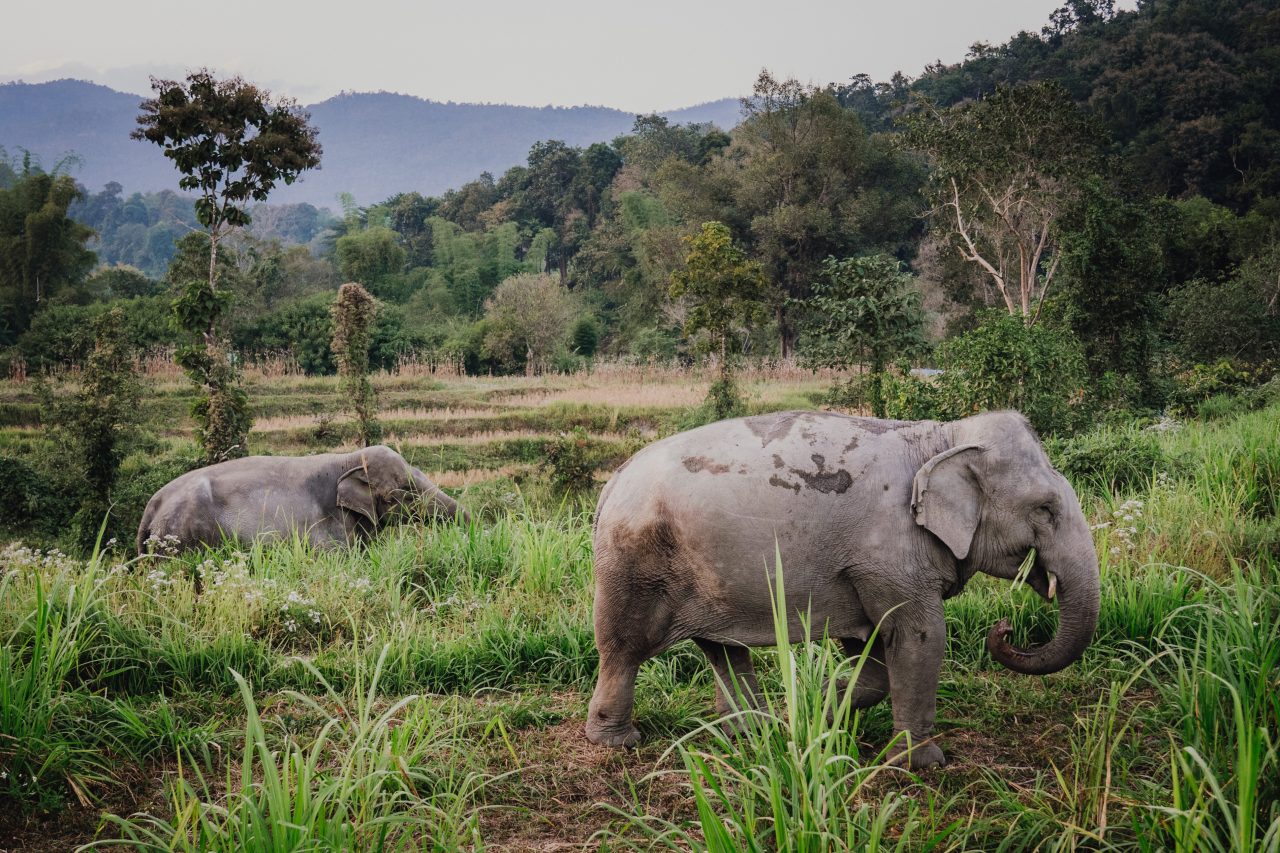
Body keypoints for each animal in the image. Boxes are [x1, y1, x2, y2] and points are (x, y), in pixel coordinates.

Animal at [586, 409, 1100, 768]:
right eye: (1045, 509)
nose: (1005, 628)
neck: (944, 438)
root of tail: (611, 482)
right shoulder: (888, 556)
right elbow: (921, 637)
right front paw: (920, 764)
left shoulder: (863, 568)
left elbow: (871, 650)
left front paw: (817, 713)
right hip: (633, 562)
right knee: (623, 647)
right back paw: (617, 741)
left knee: (722, 649)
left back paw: (751, 731)